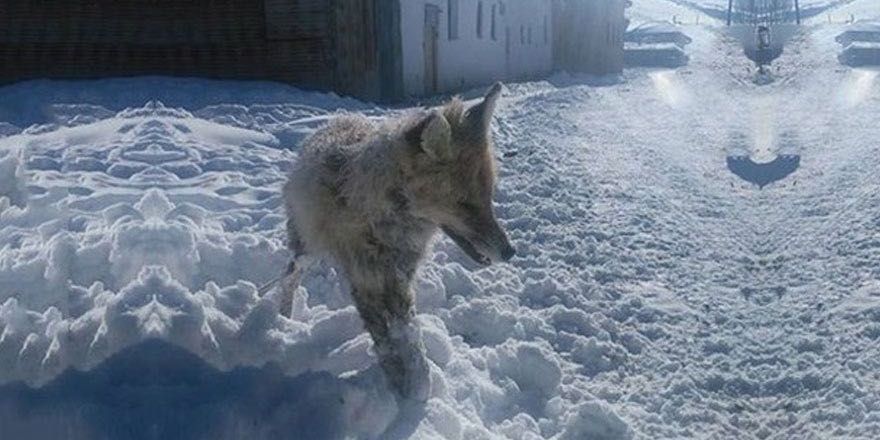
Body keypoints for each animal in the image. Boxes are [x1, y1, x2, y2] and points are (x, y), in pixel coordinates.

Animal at [278, 83, 516, 402]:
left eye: (489, 196)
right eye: (464, 204)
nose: (510, 251)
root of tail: (339, 119)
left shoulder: (400, 280)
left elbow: (409, 338)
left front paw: (419, 388)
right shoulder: (367, 281)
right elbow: (389, 344)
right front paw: (407, 395)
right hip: (307, 246)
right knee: (290, 275)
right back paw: (284, 318)